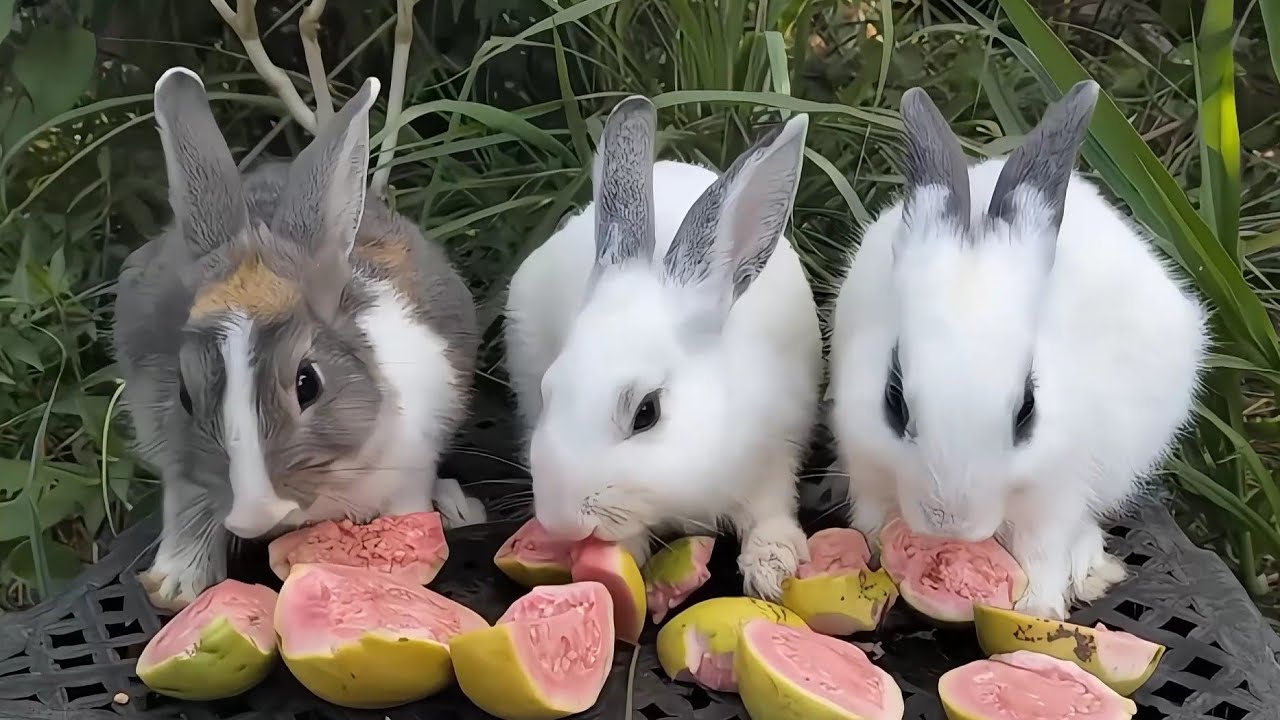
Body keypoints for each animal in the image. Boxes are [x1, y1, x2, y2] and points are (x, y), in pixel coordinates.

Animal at [112, 67, 486, 609]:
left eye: (309, 384)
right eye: (184, 396)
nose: (255, 514)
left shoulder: (412, 461)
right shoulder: (176, 458)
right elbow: (187, 507)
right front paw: (177, 586)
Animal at [503, 96, 822, 601]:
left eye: (646, 413)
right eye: (550, 388)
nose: (562, 520)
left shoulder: (776, 456)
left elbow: (772, 512)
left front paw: (771, 569)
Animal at [828, 80, 1209, 620]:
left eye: (1027, 410)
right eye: (893, 400)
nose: (949, 522)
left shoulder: (1056, 485)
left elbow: (1042, 549)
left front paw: (1040, 610)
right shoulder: (865, 459)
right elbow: (873, 518)